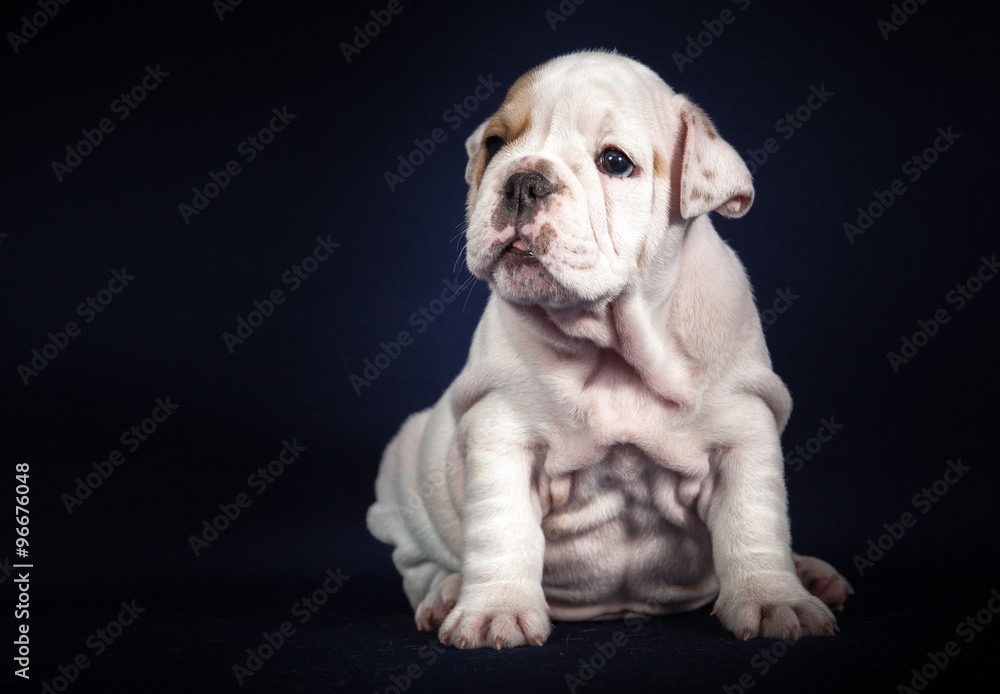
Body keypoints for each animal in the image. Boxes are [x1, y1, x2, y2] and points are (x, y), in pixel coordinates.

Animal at [368, 50, 852, 652]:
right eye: (495, 145)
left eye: (615, 162)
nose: (524, 181)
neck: (614, 349)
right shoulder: (502, 433)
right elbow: (501, 529)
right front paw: (495, 611)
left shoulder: (743, 433)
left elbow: (754, 522)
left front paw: (774, 601)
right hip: (405, 473)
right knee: (418, 564)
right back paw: (446, 593)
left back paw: (811, 573)